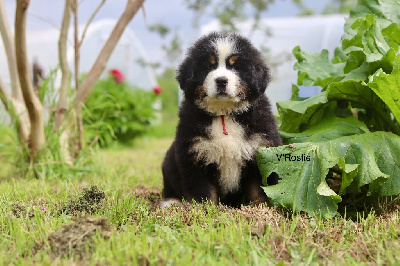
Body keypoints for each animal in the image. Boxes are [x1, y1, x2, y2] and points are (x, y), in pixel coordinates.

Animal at [162, 32, 282, 208]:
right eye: (208, 66)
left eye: (236, 67)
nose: (221, 81)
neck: (224, 114)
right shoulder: (195, 154)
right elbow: (203, 192)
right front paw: (204, 210)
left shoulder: (260, 151)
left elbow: (258, 191)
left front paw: (261, 209)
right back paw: (170, 202)